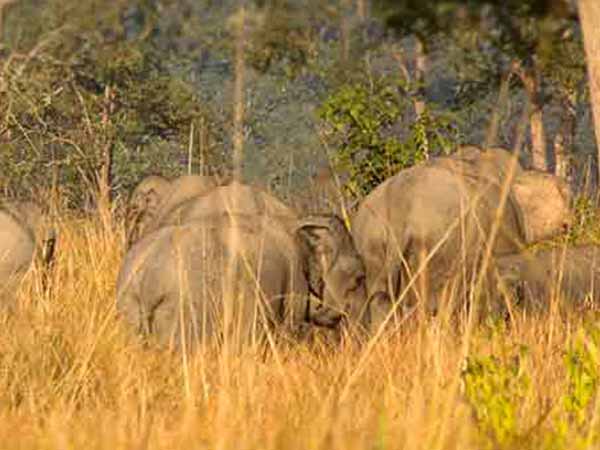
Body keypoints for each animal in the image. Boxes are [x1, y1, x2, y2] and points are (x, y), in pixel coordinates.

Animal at [113, 212, 366, 352]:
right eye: (359, 277)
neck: (294, 223)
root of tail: (147, 278)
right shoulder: (291, 282)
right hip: (184, 311)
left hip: (129, 311)